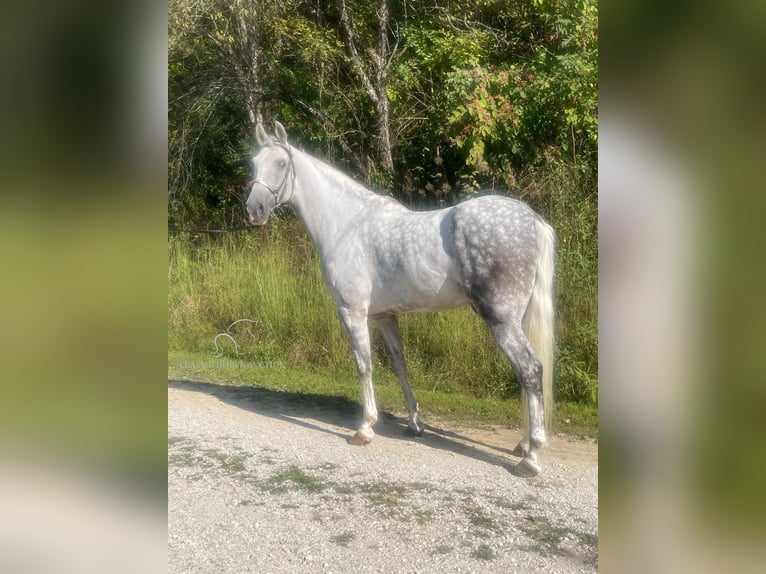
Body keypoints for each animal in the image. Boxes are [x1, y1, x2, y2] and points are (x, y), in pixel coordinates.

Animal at [248, 120, 560, 476]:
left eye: (281, 163)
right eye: (253, 163)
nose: (254, 210)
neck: (346, 224)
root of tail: (531, 219)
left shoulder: (351, 312)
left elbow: (364, 364)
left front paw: (365, 428)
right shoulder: (385, 317)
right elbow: (399, 365)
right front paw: (414, 423)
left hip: (502, 320)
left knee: (531, 371)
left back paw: (531, 456)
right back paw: (523, 444)